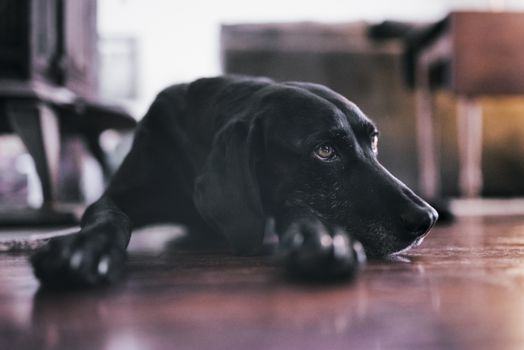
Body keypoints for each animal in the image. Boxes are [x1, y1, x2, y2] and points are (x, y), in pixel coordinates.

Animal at [31, 76, 438, 288]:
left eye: (373, 141)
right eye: (325, 151)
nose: (426, 219)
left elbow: (298, 209)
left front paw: (321, 238)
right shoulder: (120, 194)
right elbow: (109, 216)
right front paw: (85, 247)